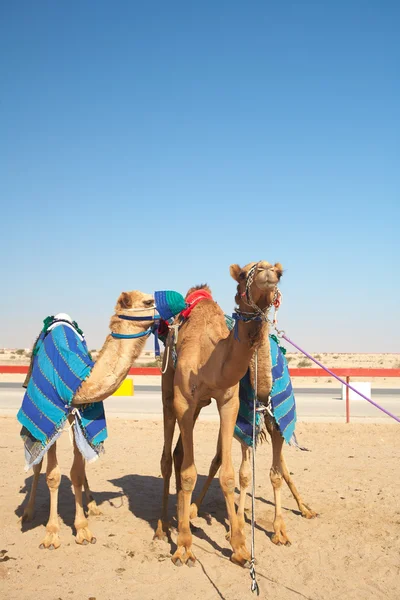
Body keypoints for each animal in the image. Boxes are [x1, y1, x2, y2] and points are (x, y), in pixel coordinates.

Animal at [18, 290, 162, 548]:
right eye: (148, 301)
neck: (78, 380)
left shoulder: (79, 414)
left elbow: (76, 472)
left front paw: (83, 528)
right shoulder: (52, 415)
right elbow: (52, 476)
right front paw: (51, 533)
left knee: (82, 463)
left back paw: (92, 506)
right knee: (37, 466)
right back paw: (28, 512)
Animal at [153, 260, 282, 564]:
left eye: (279, 271)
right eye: (244, 274)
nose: (269, 273)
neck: (209, 359)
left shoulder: (228, 402)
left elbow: (227, 475)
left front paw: (239, 547)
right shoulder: (184, 401)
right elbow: (189, 474)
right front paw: (184, 546)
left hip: (199, 406)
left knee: (178, 454)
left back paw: (180, 515)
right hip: (169, 393)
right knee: (167, 458)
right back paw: (163, 527)